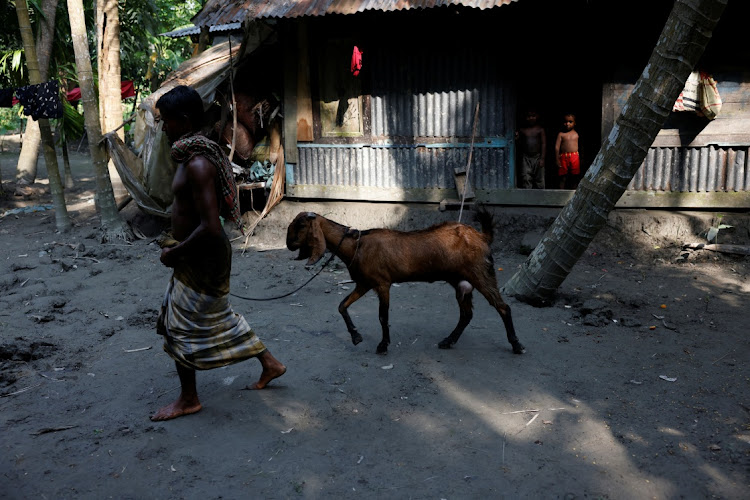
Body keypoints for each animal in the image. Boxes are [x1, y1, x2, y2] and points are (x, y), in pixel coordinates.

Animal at [284, 211, 524, 356]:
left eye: (301, 224)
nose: (288, 244)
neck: (356, 246)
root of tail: (482, 236)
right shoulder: (364, 283)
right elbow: (342, 306)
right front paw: (356, 336)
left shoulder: (383, 283)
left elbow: (383, 317)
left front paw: (382, 345)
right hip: (460, 282)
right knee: (466, 314)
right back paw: (448, 341)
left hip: (481, 273)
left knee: (502, 307)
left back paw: (516, 344)